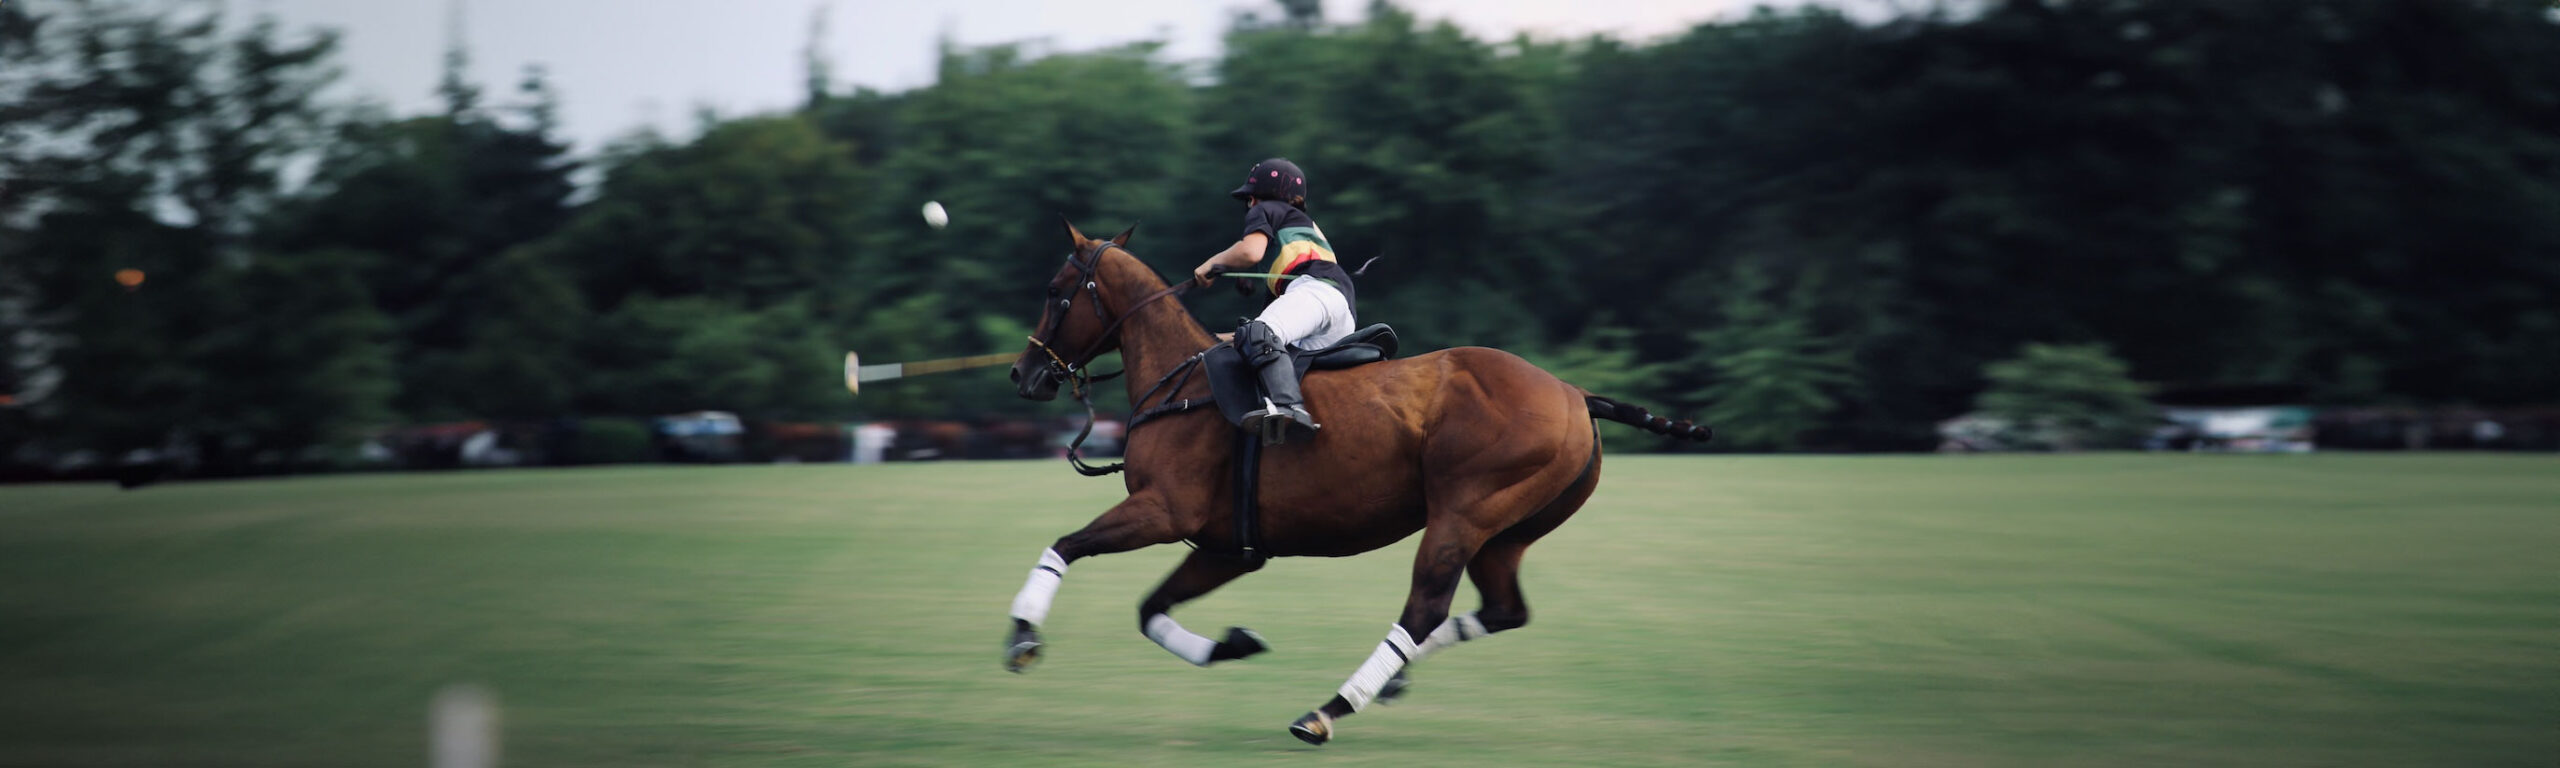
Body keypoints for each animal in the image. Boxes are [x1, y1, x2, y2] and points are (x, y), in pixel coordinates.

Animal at [1008, 220, 1710, 742]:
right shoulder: (1228, 546)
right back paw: (1390, 681)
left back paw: (1329, 710)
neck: (1178, 381)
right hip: (1508, 530)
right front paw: (1234, 644)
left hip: (1464, 513)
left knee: (1425, 608)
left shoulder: (1164, 510)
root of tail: (1575, 394)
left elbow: (1065, 545)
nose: (1024, 375)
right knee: (1503, 610)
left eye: (1054, 289)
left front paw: (1021, 637)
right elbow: (1151, 608)